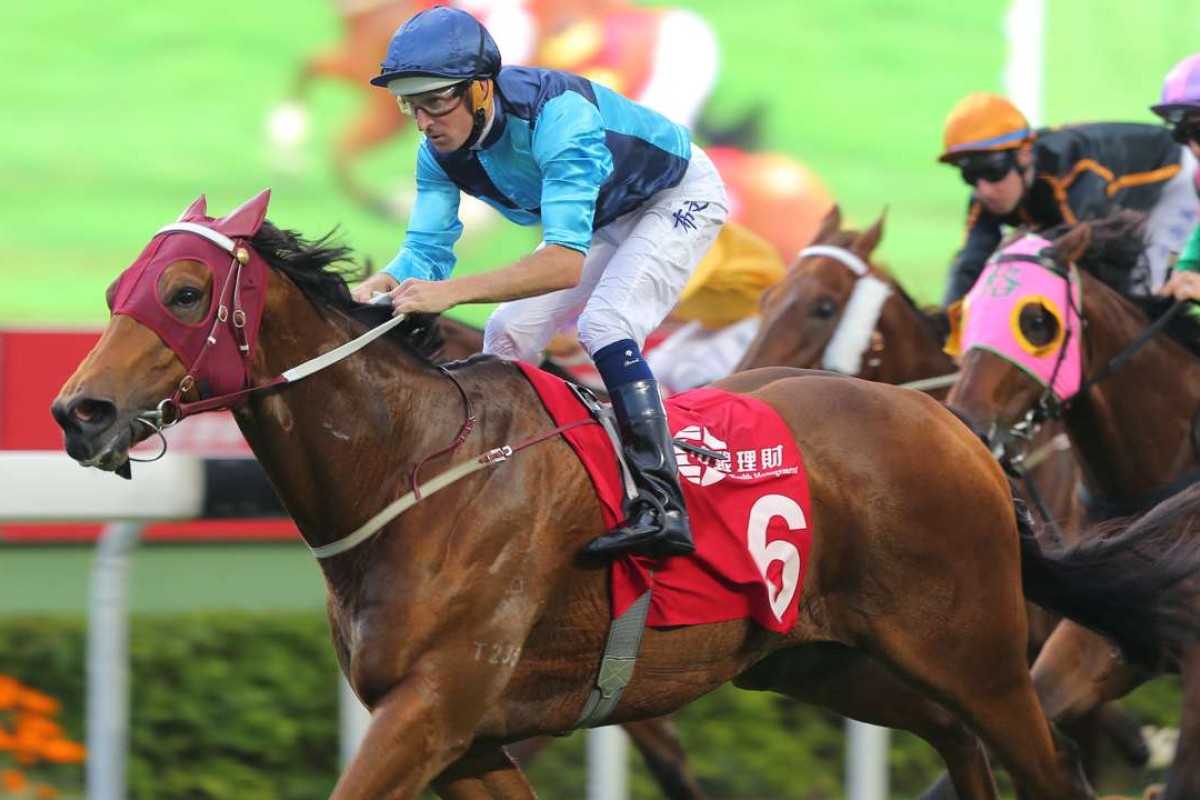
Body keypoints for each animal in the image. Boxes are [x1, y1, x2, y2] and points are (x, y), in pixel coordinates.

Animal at [51, 190, 1200, 796]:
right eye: (113, 292)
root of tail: (953, 424)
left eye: (185, 293)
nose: (78, 411)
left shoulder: (434, 707)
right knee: (955, 740)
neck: (414, 469)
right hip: (820, 659)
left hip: (976, 653)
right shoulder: (467, 735)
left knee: (1042, 756)